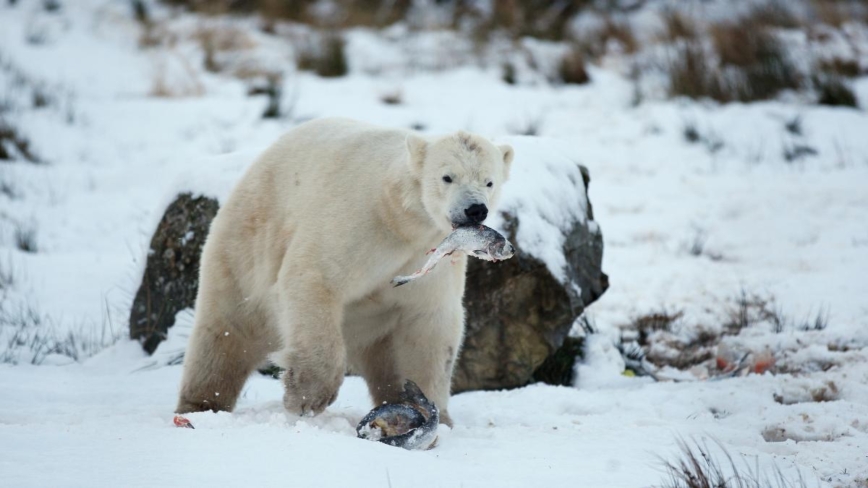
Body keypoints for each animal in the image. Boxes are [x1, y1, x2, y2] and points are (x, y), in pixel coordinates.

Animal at [178, 116, 516, 426]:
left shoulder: (429, 254)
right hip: (244, 249)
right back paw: (200, 405)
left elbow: (429, 324)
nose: (475, 209)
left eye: (489, 181)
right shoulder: (359, 220)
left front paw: (435, 416)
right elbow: (314, 278)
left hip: (375, 325)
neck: (399, 216)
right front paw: (307, 396)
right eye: (447, 177)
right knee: (225, 335)